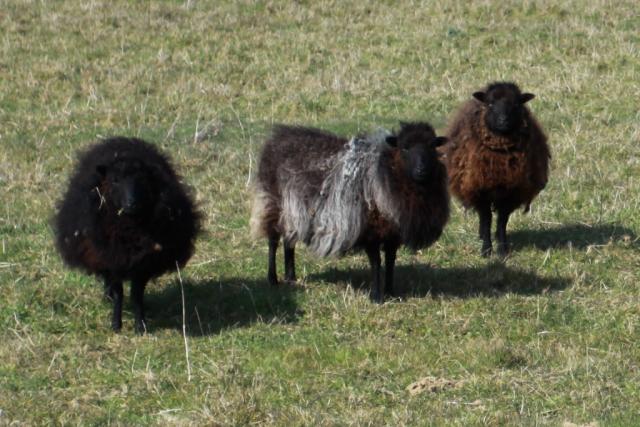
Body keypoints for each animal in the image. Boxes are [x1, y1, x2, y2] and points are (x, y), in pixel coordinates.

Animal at [54, 137, 201, 334]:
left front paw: (141, 326)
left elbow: (136, 295)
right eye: (115, 181)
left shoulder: (144, 262)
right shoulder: (111, 260)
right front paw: (116, 325)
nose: (132, 203)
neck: (130, 230)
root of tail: (119, 141)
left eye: (142, 181)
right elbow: (119, 294)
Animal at [250, 122, 450, 302]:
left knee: (288, 241)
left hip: (293, 211)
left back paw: (291, 277)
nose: (421, 170)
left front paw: (391, 292)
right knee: (273, 242)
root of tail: (277, 138)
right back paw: (273, 279)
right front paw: (376, 297)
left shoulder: (393, 232)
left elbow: (391, 261)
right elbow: (376, 262)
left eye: (432, 147)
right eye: (405, 148)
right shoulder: (371, 229)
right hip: (273, 204)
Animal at [440, 83, 552, 258]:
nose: (503, 120)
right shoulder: (481, 190)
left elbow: (502, 221)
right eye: (490, 104)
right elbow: (486, 220)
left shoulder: (510, 192)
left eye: (516, 104)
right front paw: (486, 250)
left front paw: (502, 249)